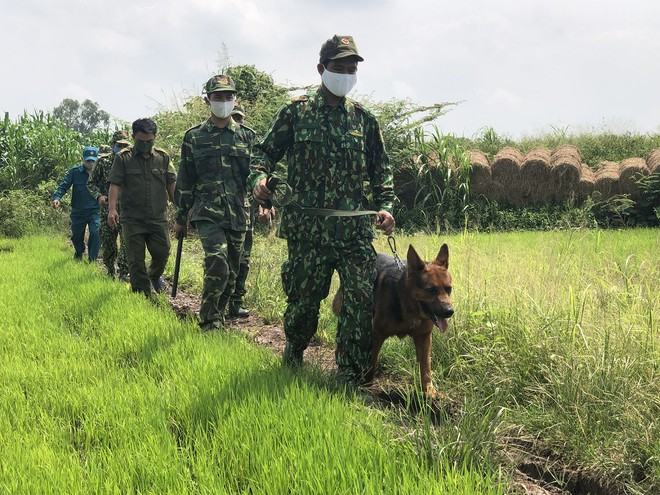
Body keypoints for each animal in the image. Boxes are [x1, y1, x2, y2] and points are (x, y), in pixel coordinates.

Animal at [336, 244, 454, 400]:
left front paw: (429, 391)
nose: (449, 311)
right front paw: (366, 385)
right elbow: (371, 361)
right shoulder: (376, 334)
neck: (408, 305)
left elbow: (426, 367)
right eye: (431, 290)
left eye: (449, 289)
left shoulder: (424, 338)